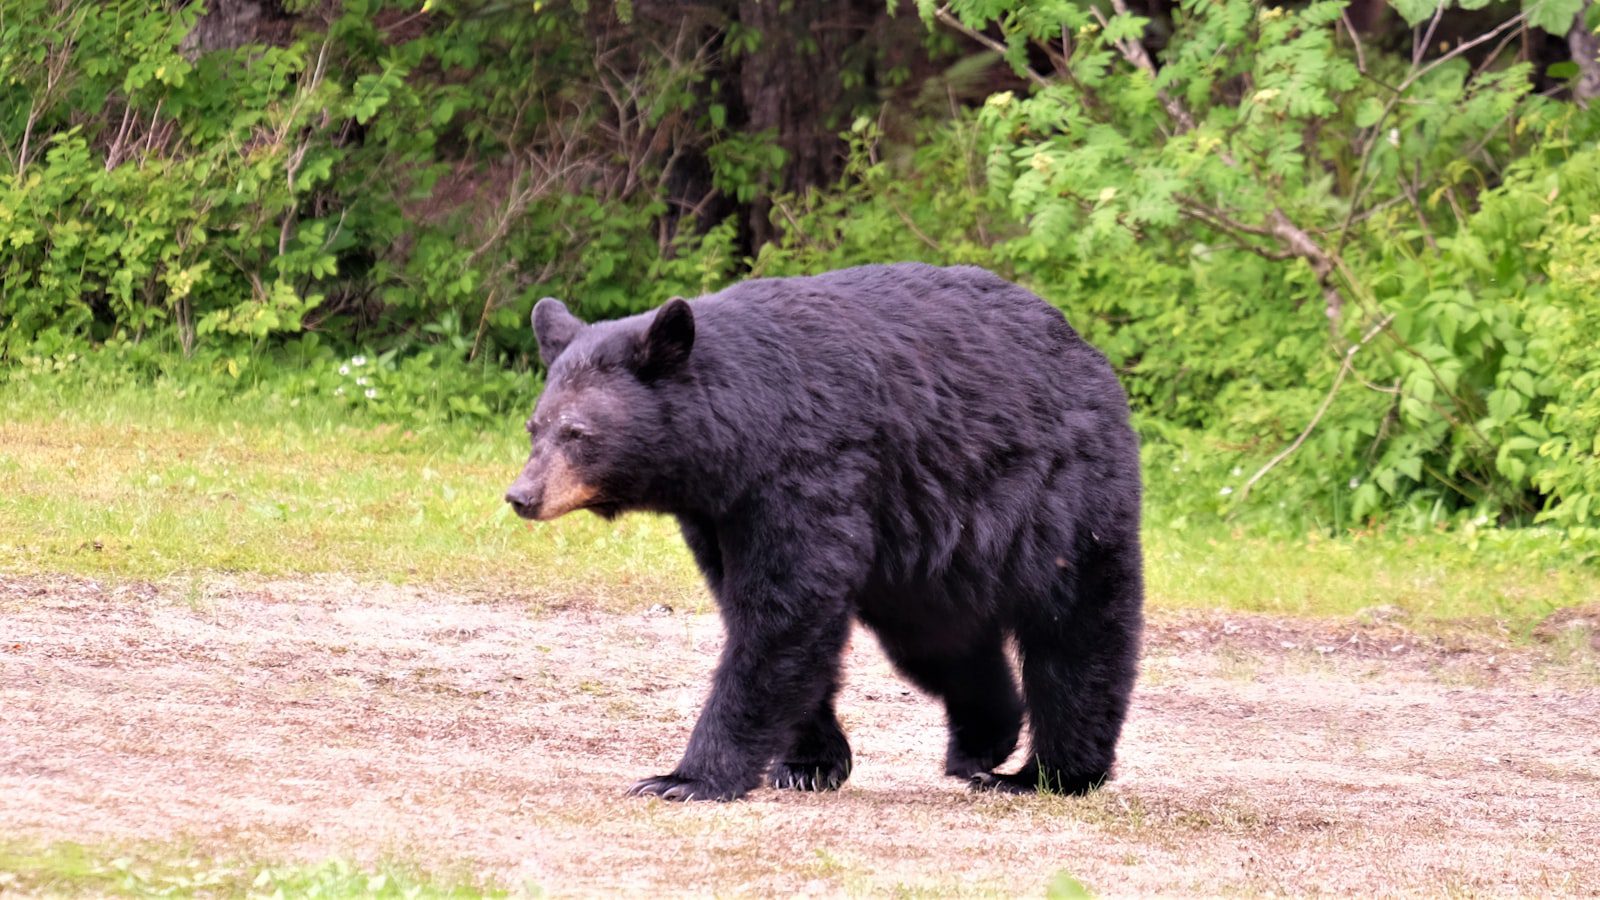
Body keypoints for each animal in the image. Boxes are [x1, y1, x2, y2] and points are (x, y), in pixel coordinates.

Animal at [505, 261, 1145, 797]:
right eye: (535, 426)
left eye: (578, 433)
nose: (522, 496)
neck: (741, 435)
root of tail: (1087, 351)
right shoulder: (720, 512)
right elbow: (761, 612)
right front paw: (809, 763)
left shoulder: (808, 469)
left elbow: (786, 609)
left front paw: (684, 778)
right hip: (926, 555)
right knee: (940, 641)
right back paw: (982, 742)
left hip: (1061, 496)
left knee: (1077, 629)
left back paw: (1051, 773)